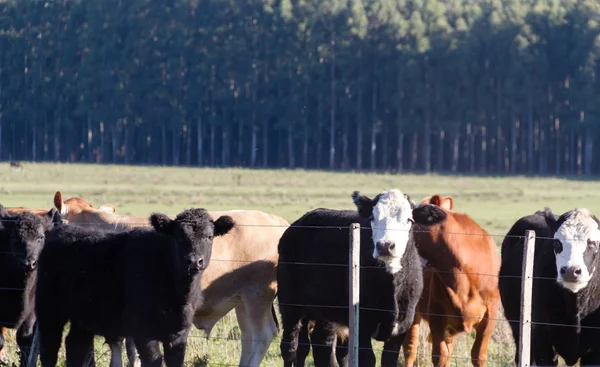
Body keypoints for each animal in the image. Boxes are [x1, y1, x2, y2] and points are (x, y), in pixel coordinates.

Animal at [32, 208, 234, 367]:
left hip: (83, 315)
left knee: (75, 345)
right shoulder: (144, 331)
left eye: (209, 236)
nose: (194, 261)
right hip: (50, 311)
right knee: (50, 348)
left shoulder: (179, 333)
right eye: (178, 237)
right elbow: (153, 361)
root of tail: (60, 230)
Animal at [276, 190, 422, 367]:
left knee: (312, 346)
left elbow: (388, 359)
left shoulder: (402, 327)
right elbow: (367, 359)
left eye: (409, 219)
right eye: (372, 217)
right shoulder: (362, 326)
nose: (385, 245)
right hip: (290, 303)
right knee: (291, 345)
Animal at [394, 194, 502, 366]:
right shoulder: (436, 314)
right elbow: (439, 355)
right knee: (410, 348)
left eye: (410, 219)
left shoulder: (490, 316)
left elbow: (478, 355)